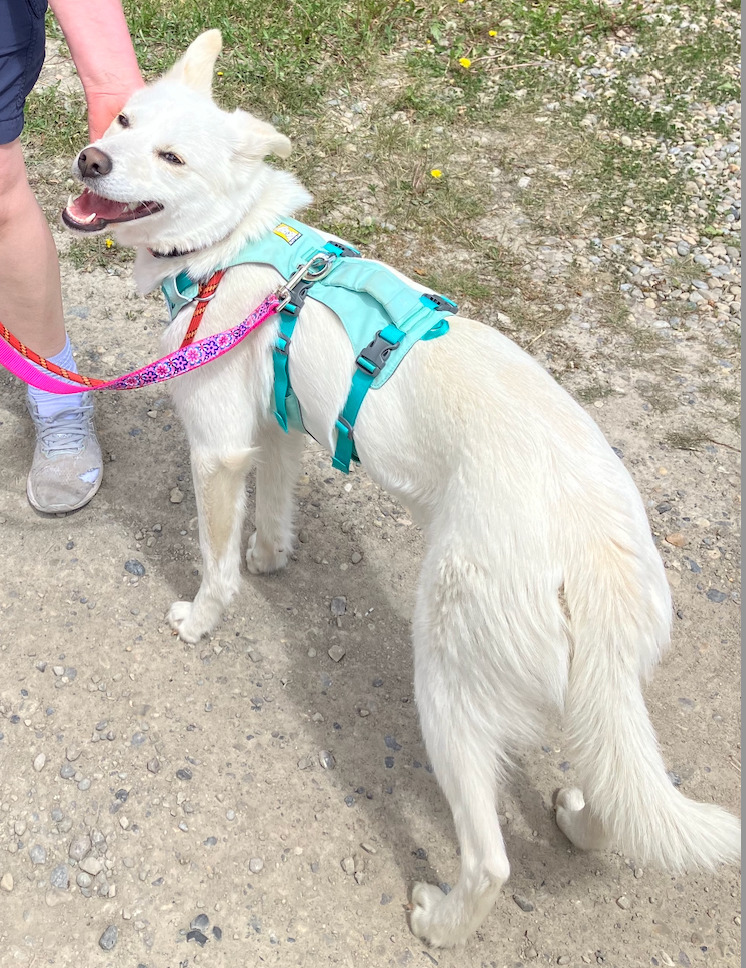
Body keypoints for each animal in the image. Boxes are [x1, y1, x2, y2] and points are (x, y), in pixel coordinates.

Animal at [64, 32, 740, 952]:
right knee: (618, 790)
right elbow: (275, 513)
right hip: (597, 690)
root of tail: (591, 549)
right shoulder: (280, 426)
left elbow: (214, 565)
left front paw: (201, 619)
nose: (91, 160)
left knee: (490, 859)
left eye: (170, 157)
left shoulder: (217, 449)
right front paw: (273, 559)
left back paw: (442, 921)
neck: (235, 241)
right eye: (124, 122)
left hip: (446, 680)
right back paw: (574, 821)